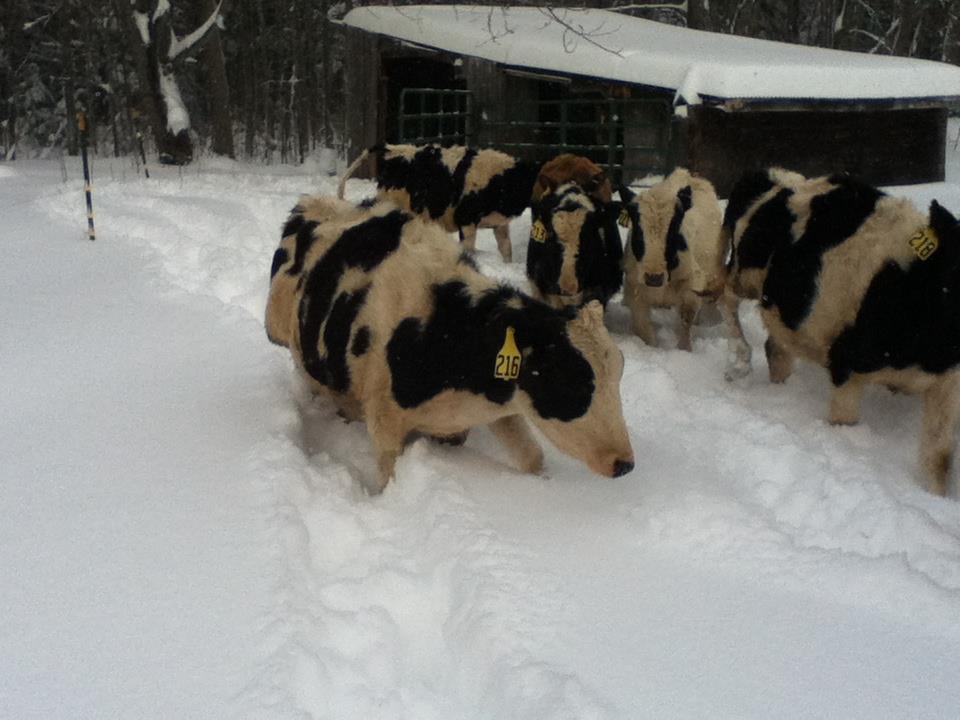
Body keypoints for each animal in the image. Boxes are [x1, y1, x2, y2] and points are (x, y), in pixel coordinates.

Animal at [266, 194, 635, 493]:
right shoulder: (385, 422)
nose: (625, 463)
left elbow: (532, 457)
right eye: (570, 379)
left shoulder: (499, 403)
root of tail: (314, 202)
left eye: (619, 373)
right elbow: (388, 478)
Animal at [620, 169, 751, 379]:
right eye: (638, 231)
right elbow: (644, 329)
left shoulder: (691, 288)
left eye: (674, 229)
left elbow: (686, 321)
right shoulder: (635, 291)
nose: (654, 278)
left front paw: (685, 350)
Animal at [725, 168, 960, 496]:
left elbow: (940, 458)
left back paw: (779, 387)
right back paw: (739, 361)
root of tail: (775, 177)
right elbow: (844, 423)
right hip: (744, 273)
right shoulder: (845, 363)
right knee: (724, 297)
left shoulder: (949, 382)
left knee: (776, 347)